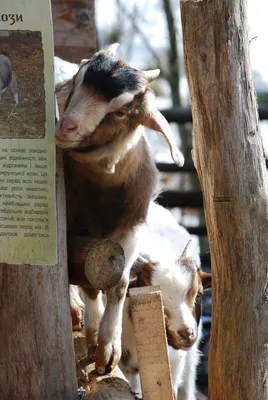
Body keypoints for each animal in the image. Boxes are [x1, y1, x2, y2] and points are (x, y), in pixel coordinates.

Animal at [54, 45, 184, 374]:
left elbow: (119, 283)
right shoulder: (76, 227)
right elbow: (83, 281)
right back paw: (74, 309)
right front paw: (93, 336)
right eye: (77, 80)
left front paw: (107, 348)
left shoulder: (131, 227)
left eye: (121, 111)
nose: (65, 126)